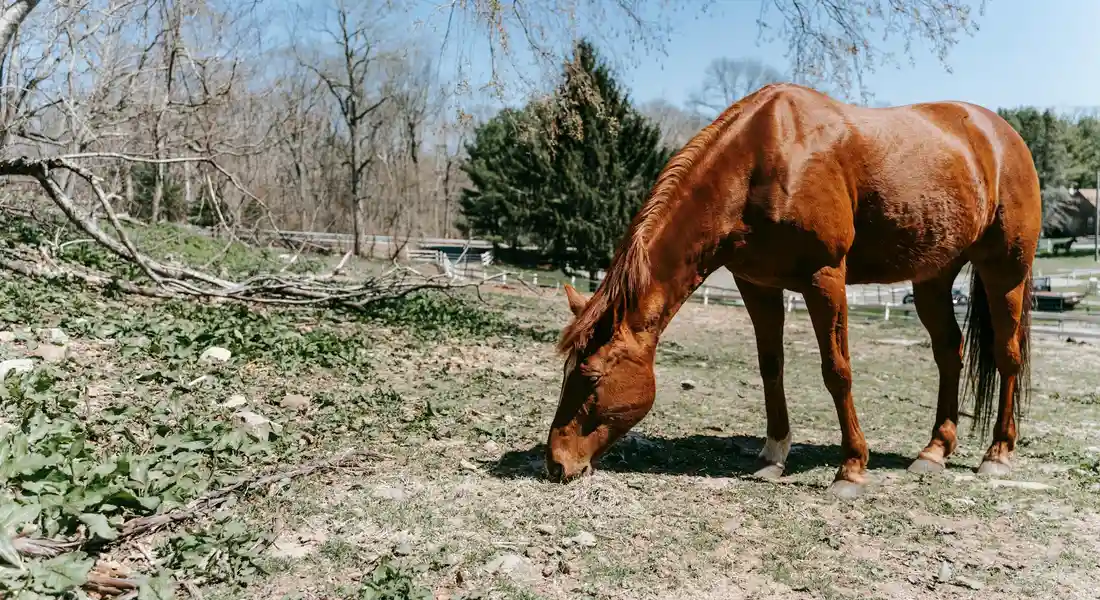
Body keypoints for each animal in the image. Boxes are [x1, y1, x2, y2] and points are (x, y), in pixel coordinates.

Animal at [545, 82, 1040, 498]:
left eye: (591, 377)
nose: (556, 463)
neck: (762, 159)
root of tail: (1003, 136)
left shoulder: (825, 278)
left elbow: (837, 371)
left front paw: (851, 469)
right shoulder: (755, 284)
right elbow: (771, 366)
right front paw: (774, 454)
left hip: (1005, 272)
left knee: (1007, 355)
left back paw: (997, 453)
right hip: (933, 278)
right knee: (949, 352)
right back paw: (935, 450)